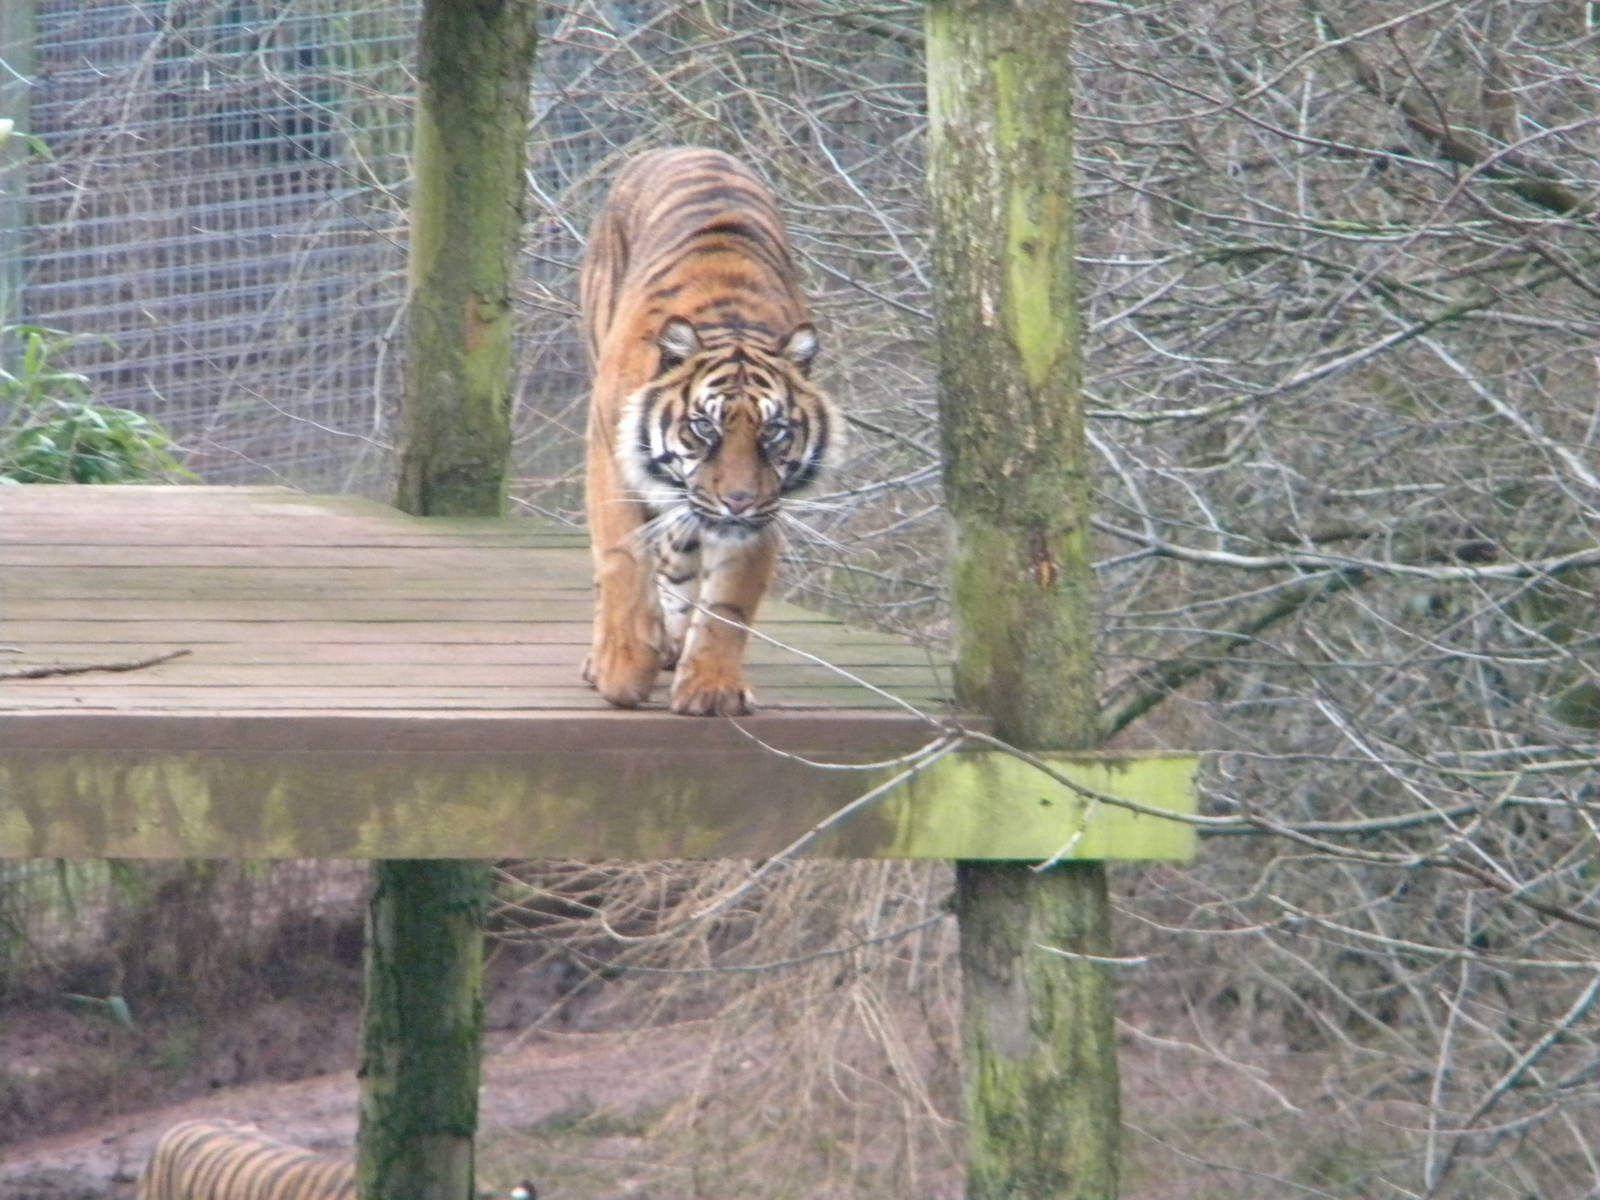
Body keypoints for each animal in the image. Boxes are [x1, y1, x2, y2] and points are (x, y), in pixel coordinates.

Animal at [580, 146, 842, 717]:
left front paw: (712, 689)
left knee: (679, 559)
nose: (738, 501)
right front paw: (622, 673)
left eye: (774, 432)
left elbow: (729, 600)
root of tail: (682, 147)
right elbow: (623, 562)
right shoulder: (611, 460)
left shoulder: (765, 508)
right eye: (704, 427)